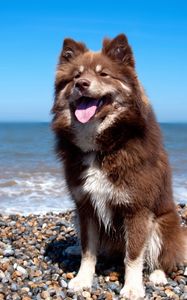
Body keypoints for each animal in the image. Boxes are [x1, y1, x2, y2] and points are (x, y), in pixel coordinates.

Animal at [51, 34, 187, 298]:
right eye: (75, 76)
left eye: (103, 74)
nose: (81, 84)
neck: (102, 147)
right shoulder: (85, 206)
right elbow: (89, 250)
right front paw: (82, 279)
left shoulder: (137, 209)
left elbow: (133, 256)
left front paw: (132, 287)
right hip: (75, 214)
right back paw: (73, 248)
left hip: (162, 224)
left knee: (164, 257)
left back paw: (157, 275)